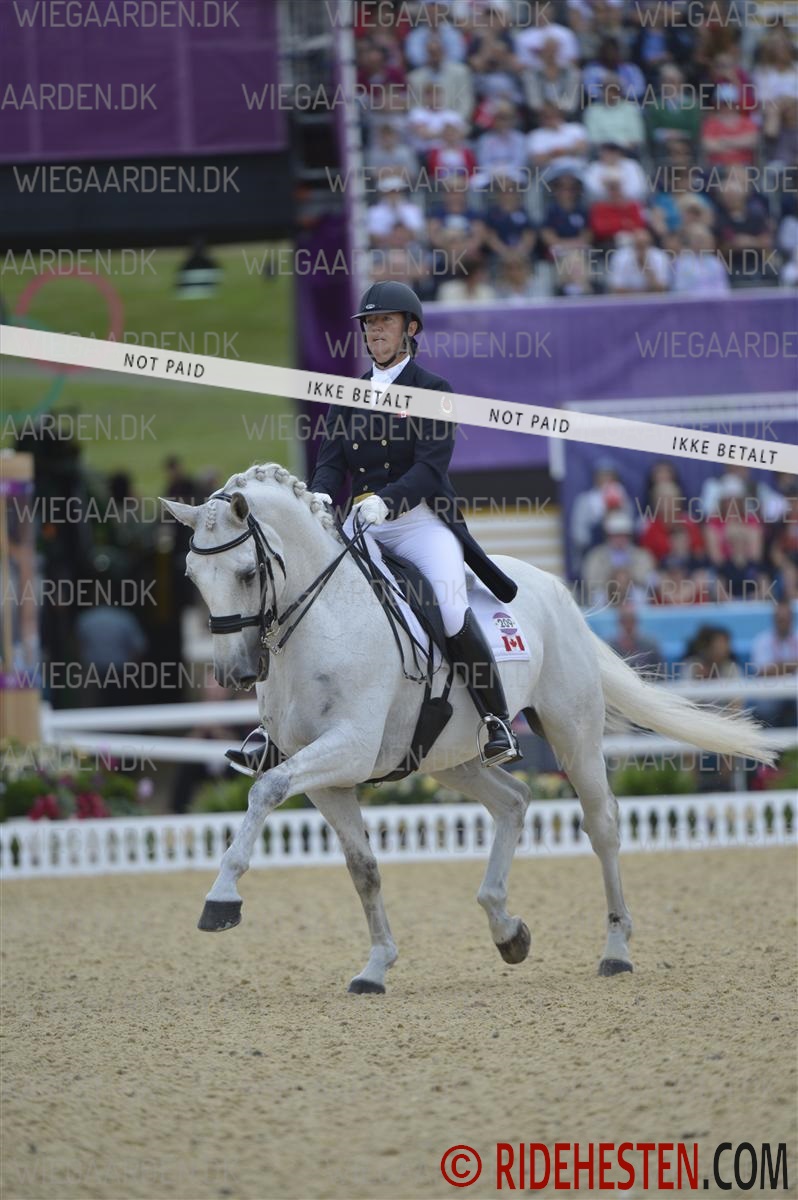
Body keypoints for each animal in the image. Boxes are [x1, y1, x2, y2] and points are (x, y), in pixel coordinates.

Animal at [162, 463, 775, 993]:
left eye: (247, 573)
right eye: (192, 576)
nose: (236, 673)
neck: (321, 621)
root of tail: (553, 588)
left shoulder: (348, 749)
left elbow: (264, 790)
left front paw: (221, 899)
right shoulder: (324, 776)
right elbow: (362, 868)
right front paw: (376, 967)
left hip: (573, 733)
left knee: (601, 825)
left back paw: (616, 950)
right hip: (449, 756)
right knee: (514, 801)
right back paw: (507, 930)